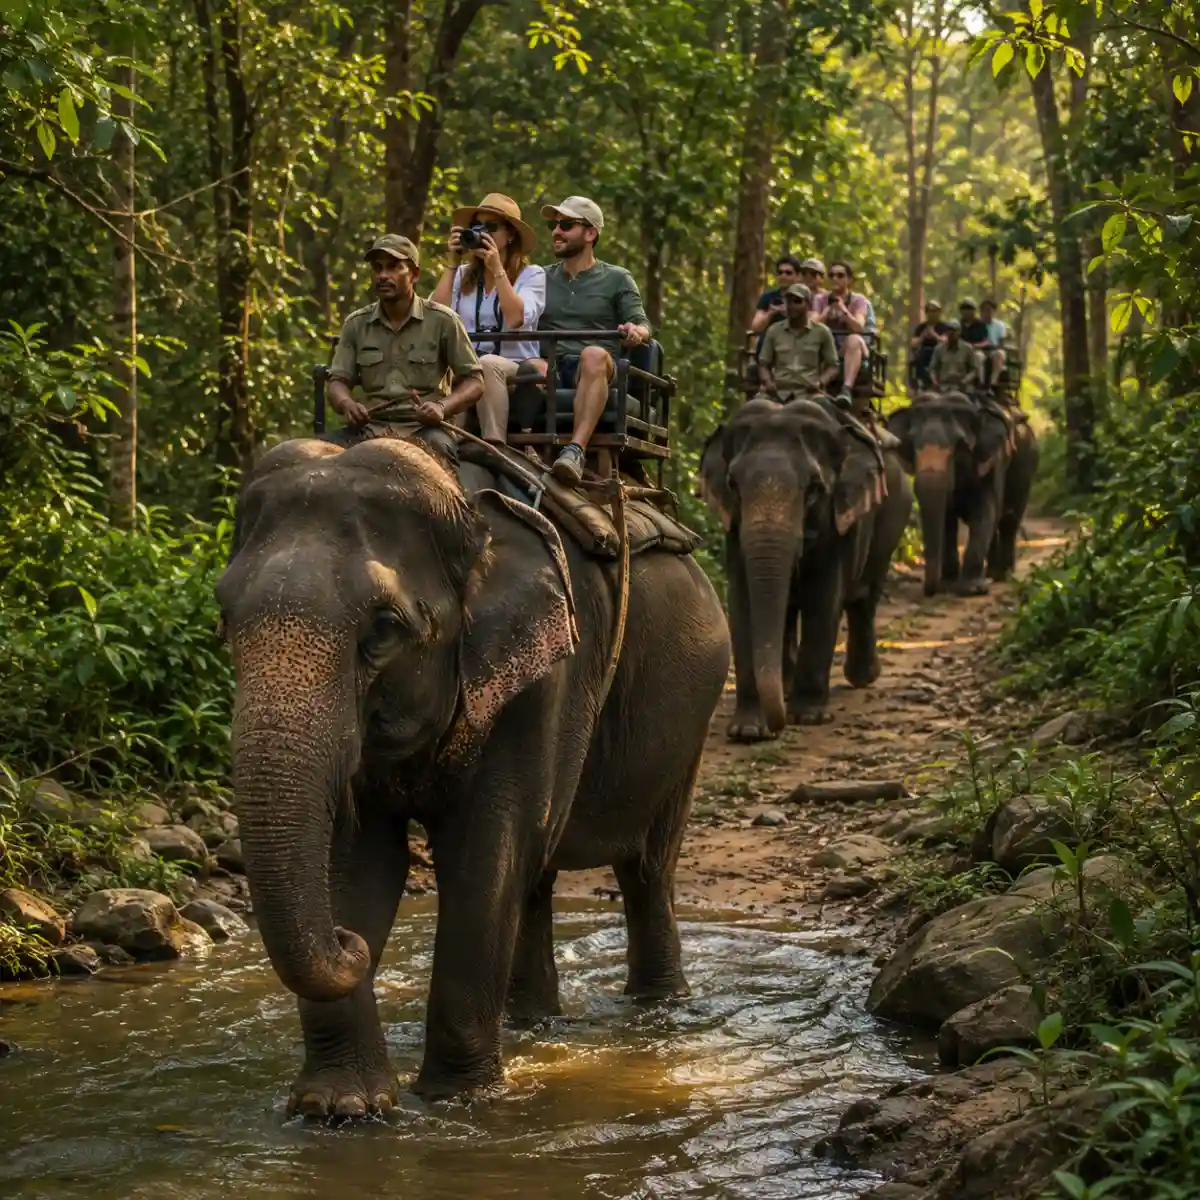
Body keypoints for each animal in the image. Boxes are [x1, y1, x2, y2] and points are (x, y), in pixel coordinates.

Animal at [216, 436, 730, 1115]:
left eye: (384, 628)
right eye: (224, 614)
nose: (349, 942)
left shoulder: (545, 674)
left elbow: (486, 851)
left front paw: (458, 1099)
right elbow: (360, 858)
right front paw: (341, 1106)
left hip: (692, 716)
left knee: (645, 867)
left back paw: (657, 1008)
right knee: (538, 876)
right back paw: (533, 1022)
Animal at [699, 398, 913, 741]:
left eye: (814, 489)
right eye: (733, 484)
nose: (778, 726)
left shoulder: (839, 523)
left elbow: (824, 599)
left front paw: (808, 716)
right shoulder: (734, 528)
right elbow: (742, 604)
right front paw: (748, 730)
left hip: (894, 517)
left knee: (865, 597)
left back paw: (862, 677)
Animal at [886, 392, 1039, 597]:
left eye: (959, 447)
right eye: (911, 444)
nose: (931, 590)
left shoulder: (993, 461)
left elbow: (985, 512)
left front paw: (972, 589)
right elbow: (948, 519)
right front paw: (947, 584)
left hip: (1026, 462)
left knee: (1009, 519)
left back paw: (1004, 575)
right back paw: (991, 574)